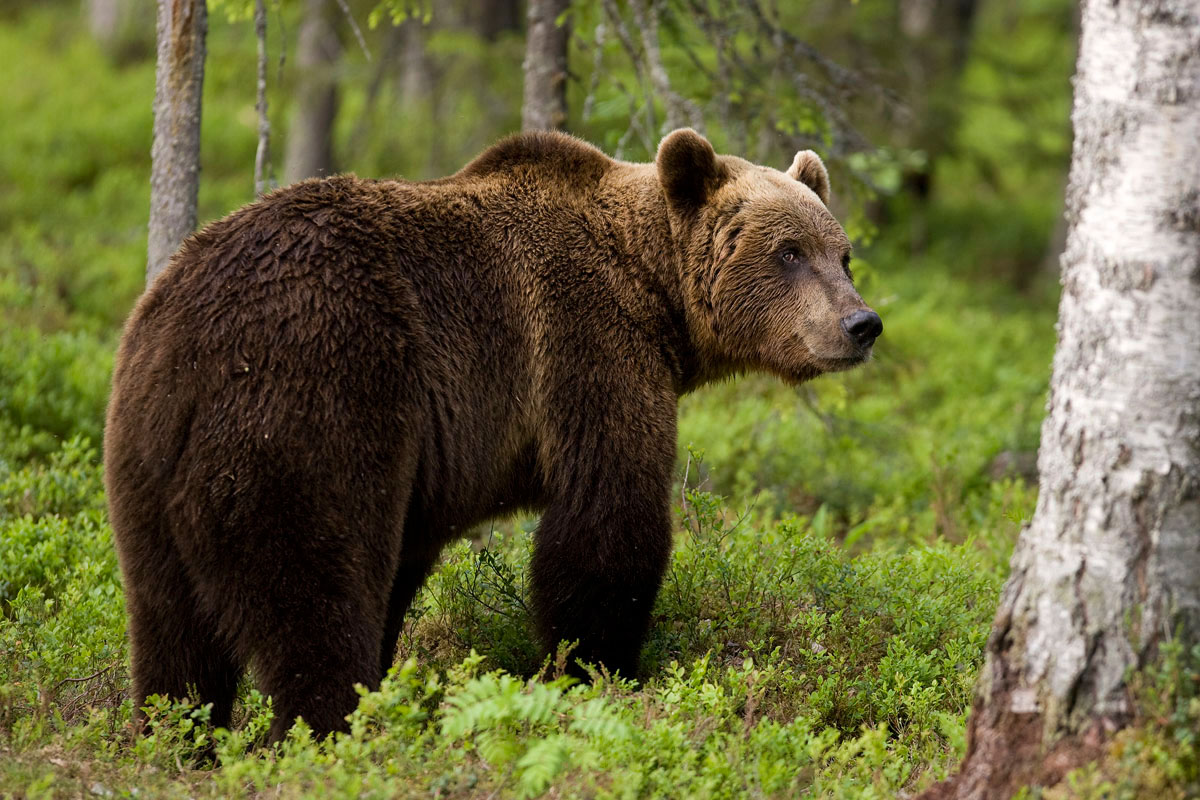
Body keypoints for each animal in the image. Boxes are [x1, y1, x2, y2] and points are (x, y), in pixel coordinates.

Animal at [105, 128, 883, 743]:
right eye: (788, 251)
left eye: (841, 253)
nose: (861, 324)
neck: (654, 291)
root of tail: (191, 340)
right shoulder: (588, 348)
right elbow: (607, 524)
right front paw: (599, 669)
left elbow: (410, 562)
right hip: (314, 406)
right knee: (316, 595)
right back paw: (335, 734)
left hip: (146, 460)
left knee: (170, 628)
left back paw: (176, 739)